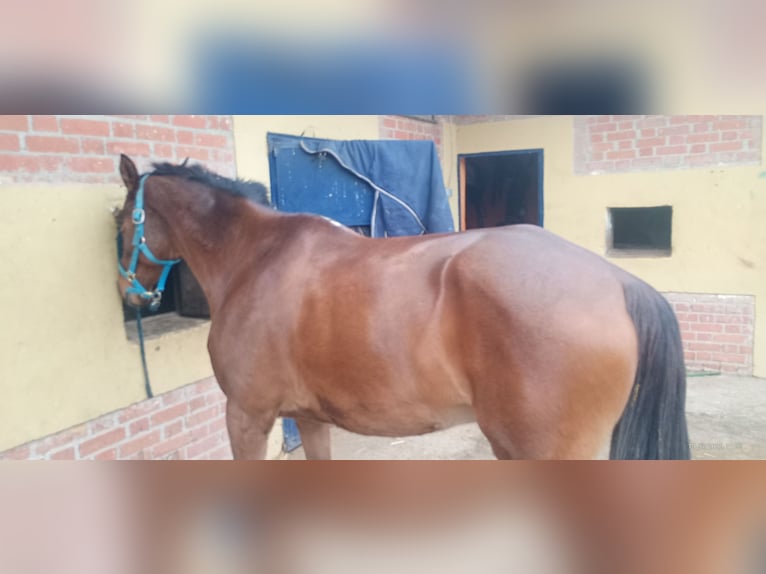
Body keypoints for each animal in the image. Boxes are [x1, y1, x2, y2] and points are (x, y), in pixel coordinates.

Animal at [114, 153, 690, 460]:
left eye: (120, 224)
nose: (129, 294)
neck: (255, 257)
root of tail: (619, 283)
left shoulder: (247, 416)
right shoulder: (308, 418)